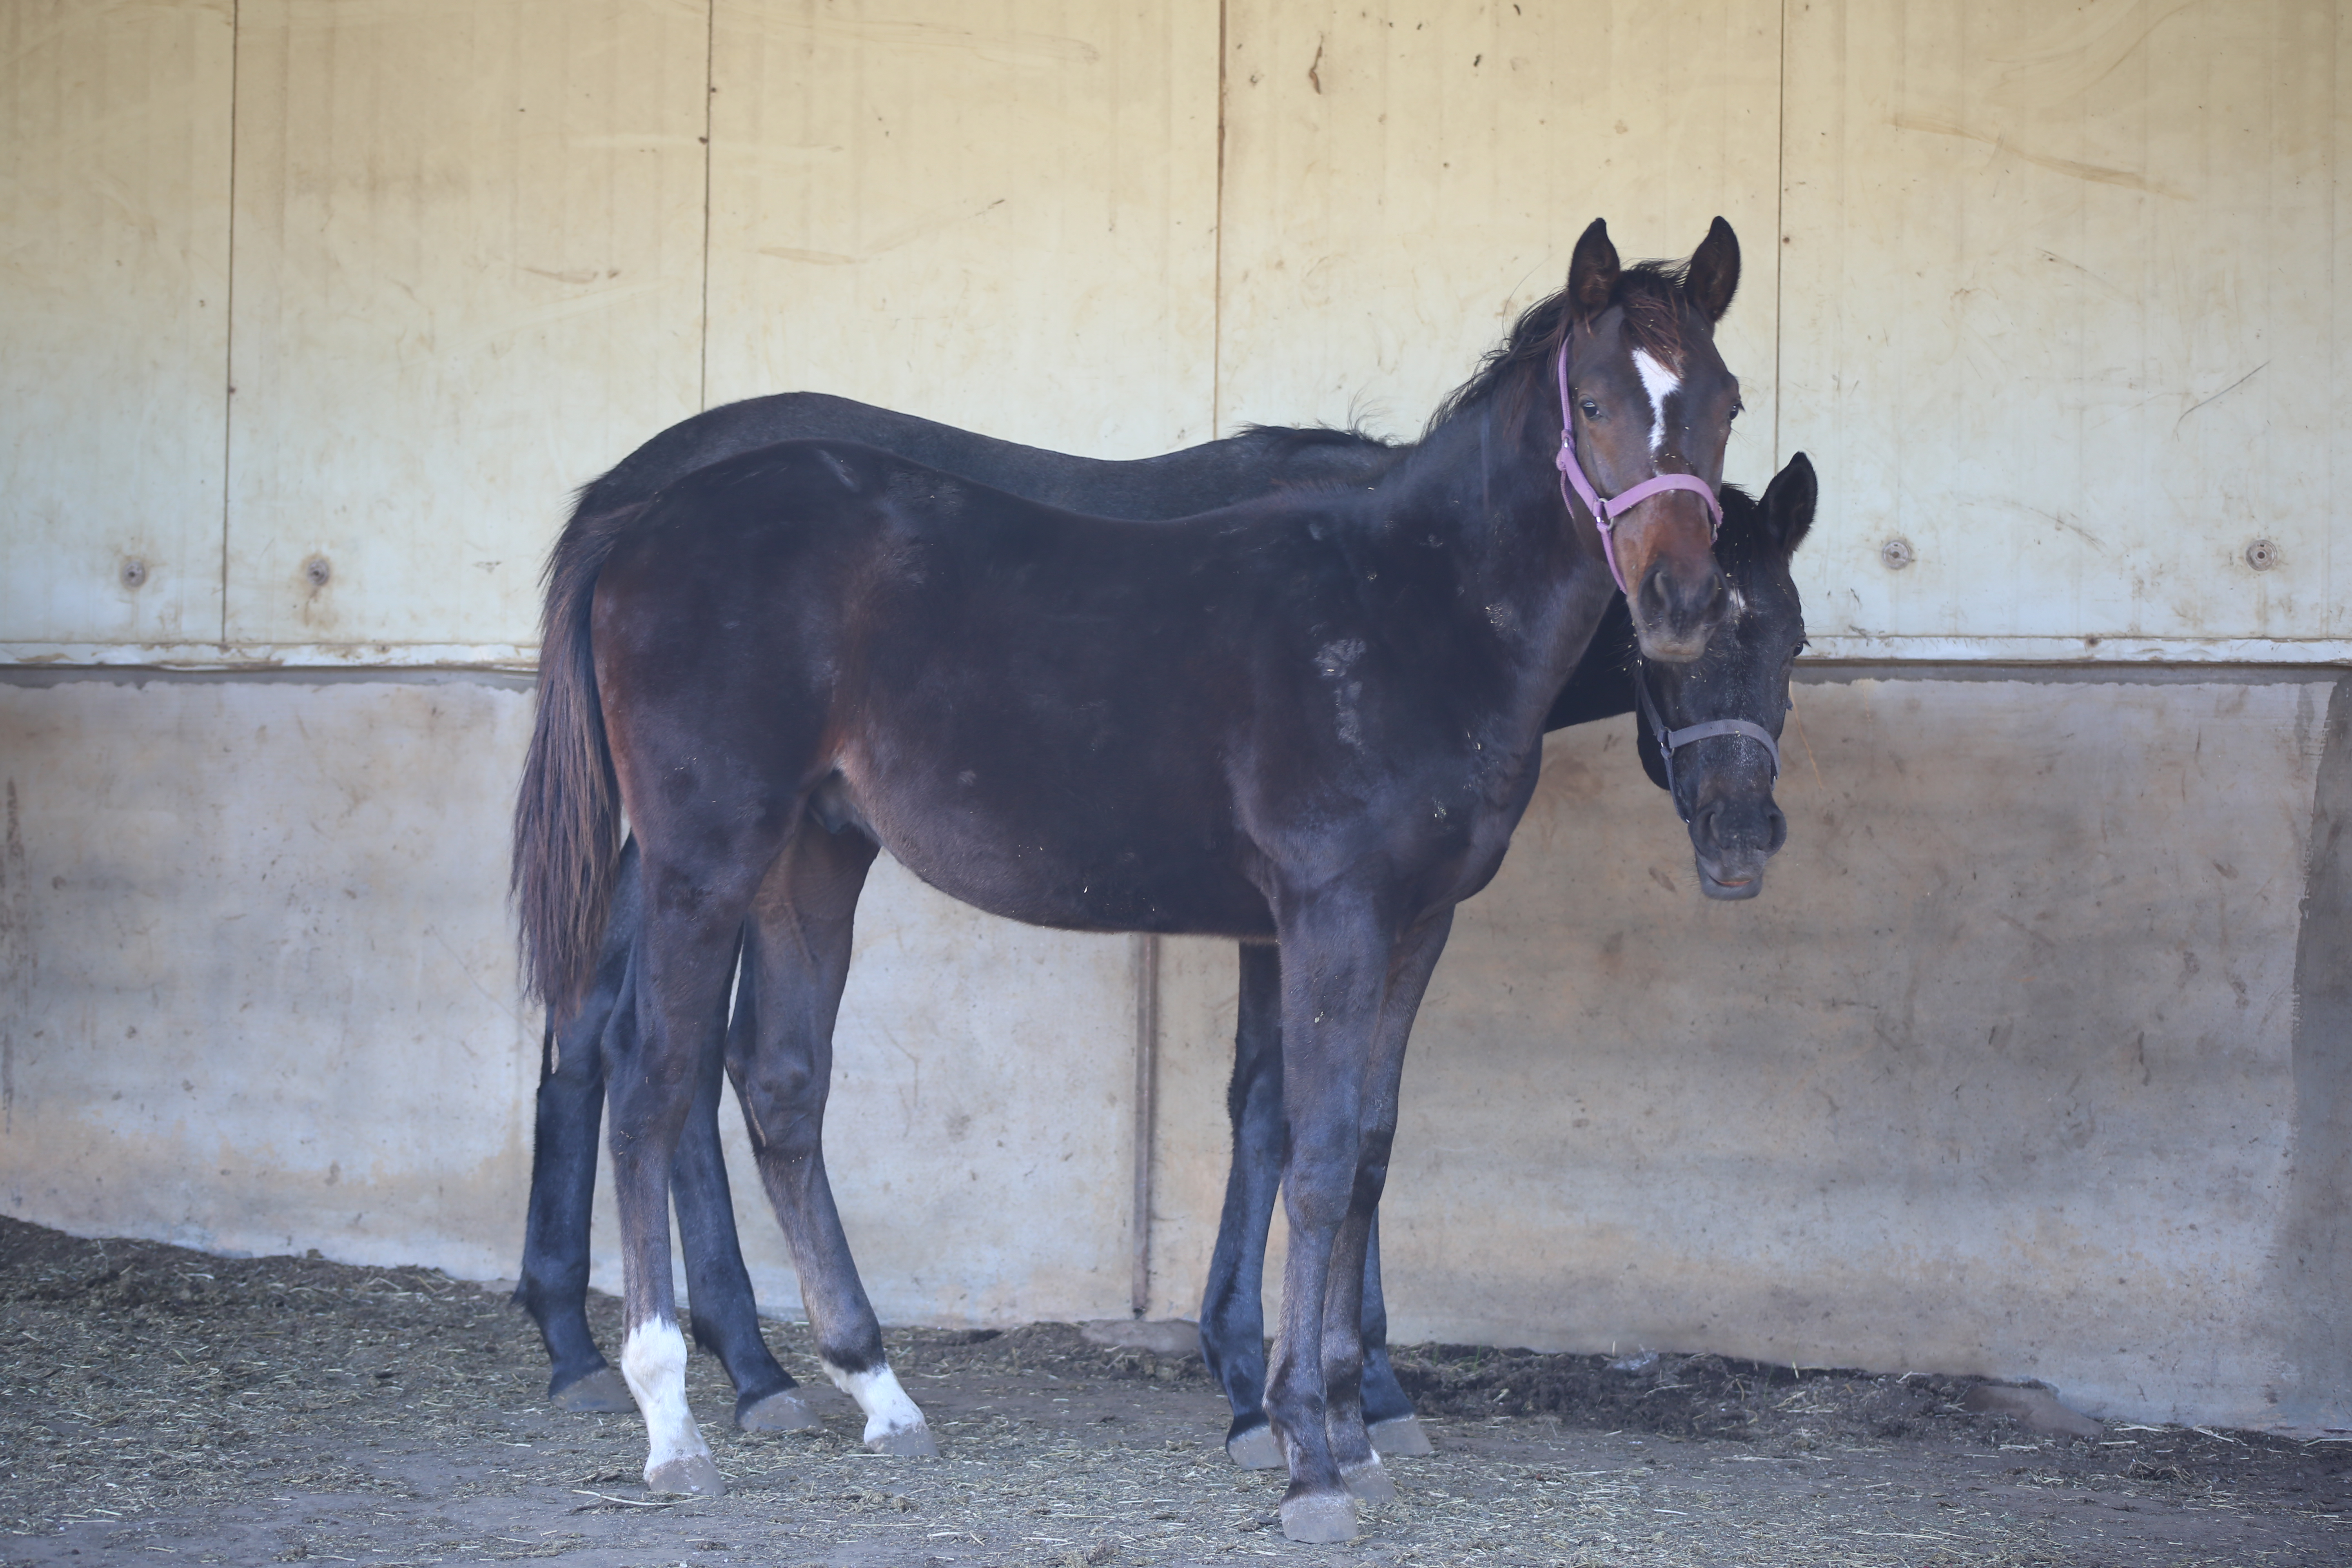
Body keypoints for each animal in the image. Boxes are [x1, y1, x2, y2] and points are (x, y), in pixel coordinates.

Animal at [524, 217, 1759, 1542]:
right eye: (1594, 401)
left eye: (1724, 400)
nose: (1681, 602)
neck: (1403, 610)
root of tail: (635, 520)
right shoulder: (1329, 914)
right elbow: (1317, 1157)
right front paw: (1308, 1453)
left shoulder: (1417, 924)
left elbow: (1369, 1149)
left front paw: (1342, 1418)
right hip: (702, 857)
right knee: (649, 1081)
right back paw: (672, 1417)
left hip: (813, 852)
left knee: (777, 1083)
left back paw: (877, 1391)